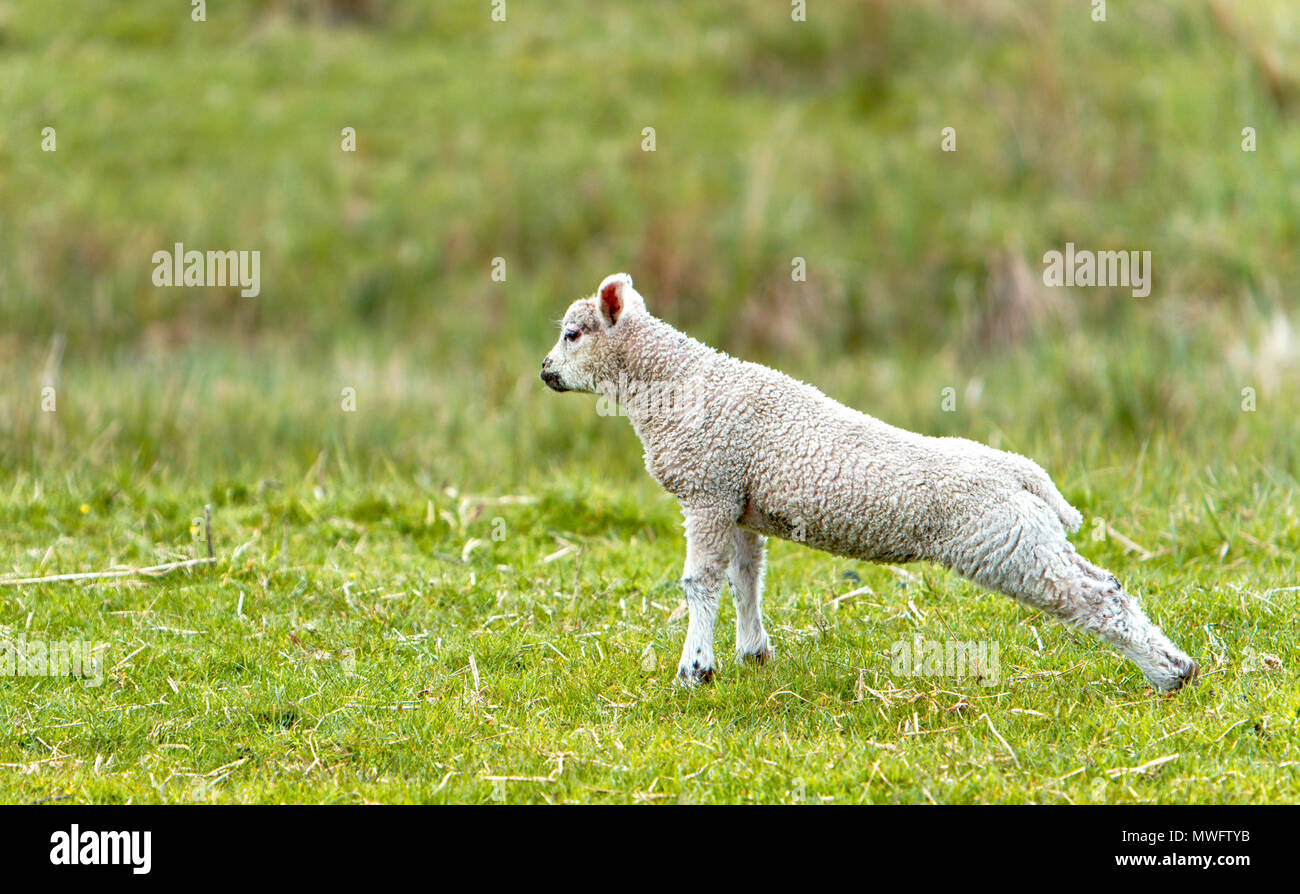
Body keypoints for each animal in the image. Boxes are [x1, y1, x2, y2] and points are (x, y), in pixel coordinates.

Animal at [538, 272, 1196, 691]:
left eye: (572, 333)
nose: (544, 371)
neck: (674, 382)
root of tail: (1022, 472)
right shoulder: (739, 501)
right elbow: (745, 578)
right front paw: (753, 653)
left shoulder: (707, 490)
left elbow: (701, 583)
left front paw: (694, 671)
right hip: (1027, 533)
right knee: (1107, 582)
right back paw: (1177, 664)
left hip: (1003, 542)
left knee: (1092, 598)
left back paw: (1164, 675)